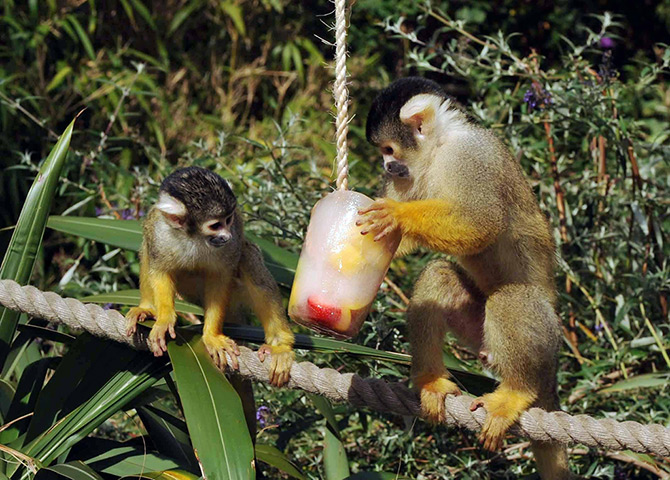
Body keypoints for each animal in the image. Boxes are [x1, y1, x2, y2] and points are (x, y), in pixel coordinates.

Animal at [125, 166, 294, 387]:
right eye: (215, 225)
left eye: (228, 220)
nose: (227, 236)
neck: (194, 237)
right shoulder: (159, 231)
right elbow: (159, 269)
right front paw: (164, 319)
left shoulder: (233, 236)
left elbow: (220, 276)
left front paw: (211, 336)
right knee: (147, 248)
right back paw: (147, 308)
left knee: (248, 258)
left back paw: (280, 346)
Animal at [358, 77, 570, 479]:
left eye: (389, 149)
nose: (387, 166)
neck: (441, 147)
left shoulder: (472, 156)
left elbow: (480, 223)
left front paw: (396, 215)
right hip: (477, 334)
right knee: (439, 277)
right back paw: (431, 381)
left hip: (545, 337)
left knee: (511, 300)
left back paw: (516, 393)